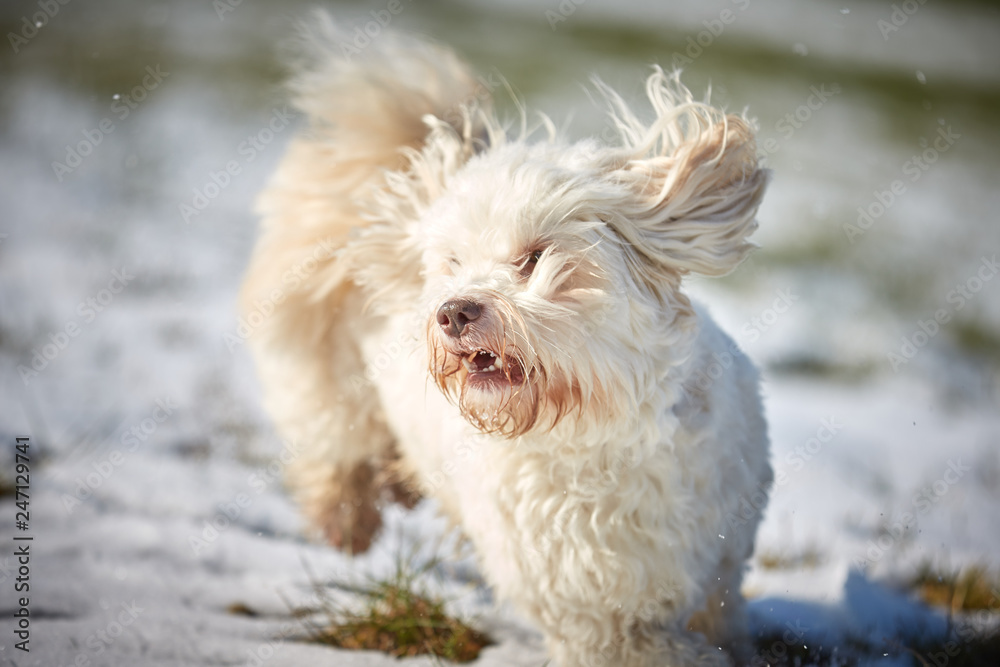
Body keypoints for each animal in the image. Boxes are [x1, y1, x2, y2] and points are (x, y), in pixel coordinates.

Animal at [242, 17, 772, 667]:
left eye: (535, 257)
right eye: (452, 262)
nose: (452, 312)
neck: (597, 433)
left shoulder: (722, 559)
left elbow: (717, 611)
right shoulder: (585, 607)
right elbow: (630, 643)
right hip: (331, 384)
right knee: (335, 446)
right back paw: (347, 517)